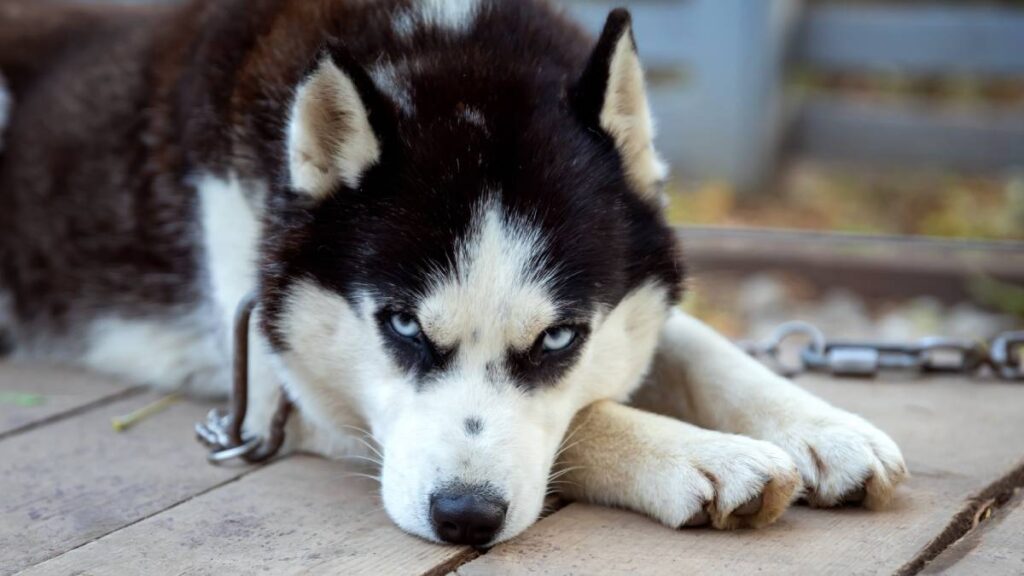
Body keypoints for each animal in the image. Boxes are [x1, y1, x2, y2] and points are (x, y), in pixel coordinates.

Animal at [0, 0, 905, 545]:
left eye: (559, 338)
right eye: (402, 324)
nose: (465, 518)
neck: (443, 50)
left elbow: (700, 347)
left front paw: (820, 425)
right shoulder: (271, 390)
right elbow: (585, 418)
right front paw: (701, 454)